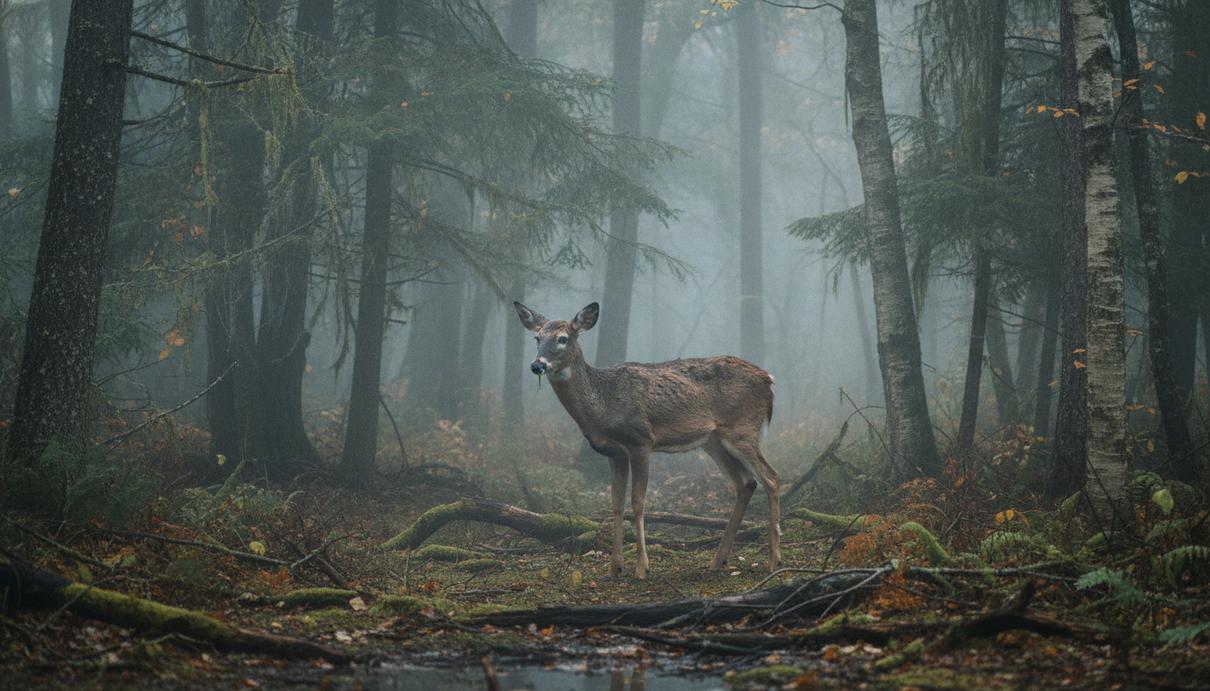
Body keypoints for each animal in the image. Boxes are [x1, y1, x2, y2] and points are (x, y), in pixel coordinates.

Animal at [513, 301, 781, 579]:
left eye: (563, 338)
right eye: (537, 337)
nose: (537, 365)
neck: (604, 406)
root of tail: (768, 379)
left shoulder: (641, 440)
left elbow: (638, 501)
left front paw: (642, 567)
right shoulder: (614, 452)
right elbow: (616, 503)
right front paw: (614, 567)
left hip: (742, 429)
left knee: (771, 477)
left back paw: (774, 560)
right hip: (714, 441)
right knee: (747, 483)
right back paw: (719, 559)